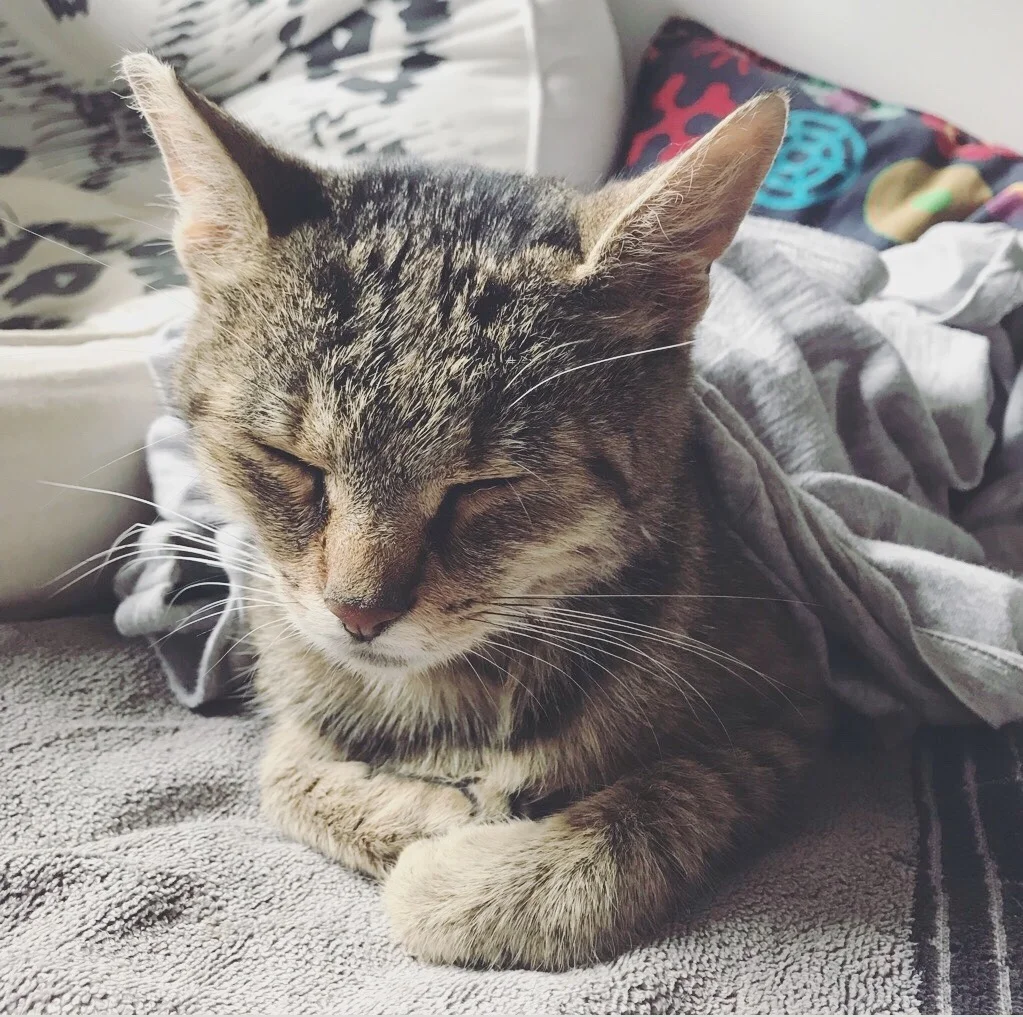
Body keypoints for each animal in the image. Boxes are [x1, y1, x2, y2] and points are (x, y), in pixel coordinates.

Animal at [123, 53, 831, 971]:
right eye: (290, 461)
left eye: (482, 486)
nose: (359, 612)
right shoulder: (291, 682)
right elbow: (283, 774)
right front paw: (428, 812)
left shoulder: (793, 711)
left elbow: (660, 799)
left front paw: (479, 881)